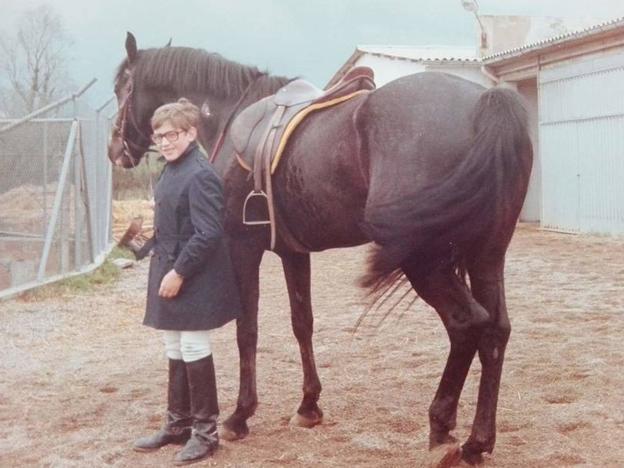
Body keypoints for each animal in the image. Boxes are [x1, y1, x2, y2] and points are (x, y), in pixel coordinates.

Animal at [107, 33, 532, 464]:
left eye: (121, 87)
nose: (115, 149)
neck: (229, 114)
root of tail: (486, 102)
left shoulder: (242, 246)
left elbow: (248, 330)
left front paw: (240, 415)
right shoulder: (294, 252)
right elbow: (302, 322)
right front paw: (308, 407)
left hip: (427, 263)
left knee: (466, 325)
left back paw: (441, 426)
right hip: (486, 255)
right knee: (495, 331)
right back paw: (478, 442)